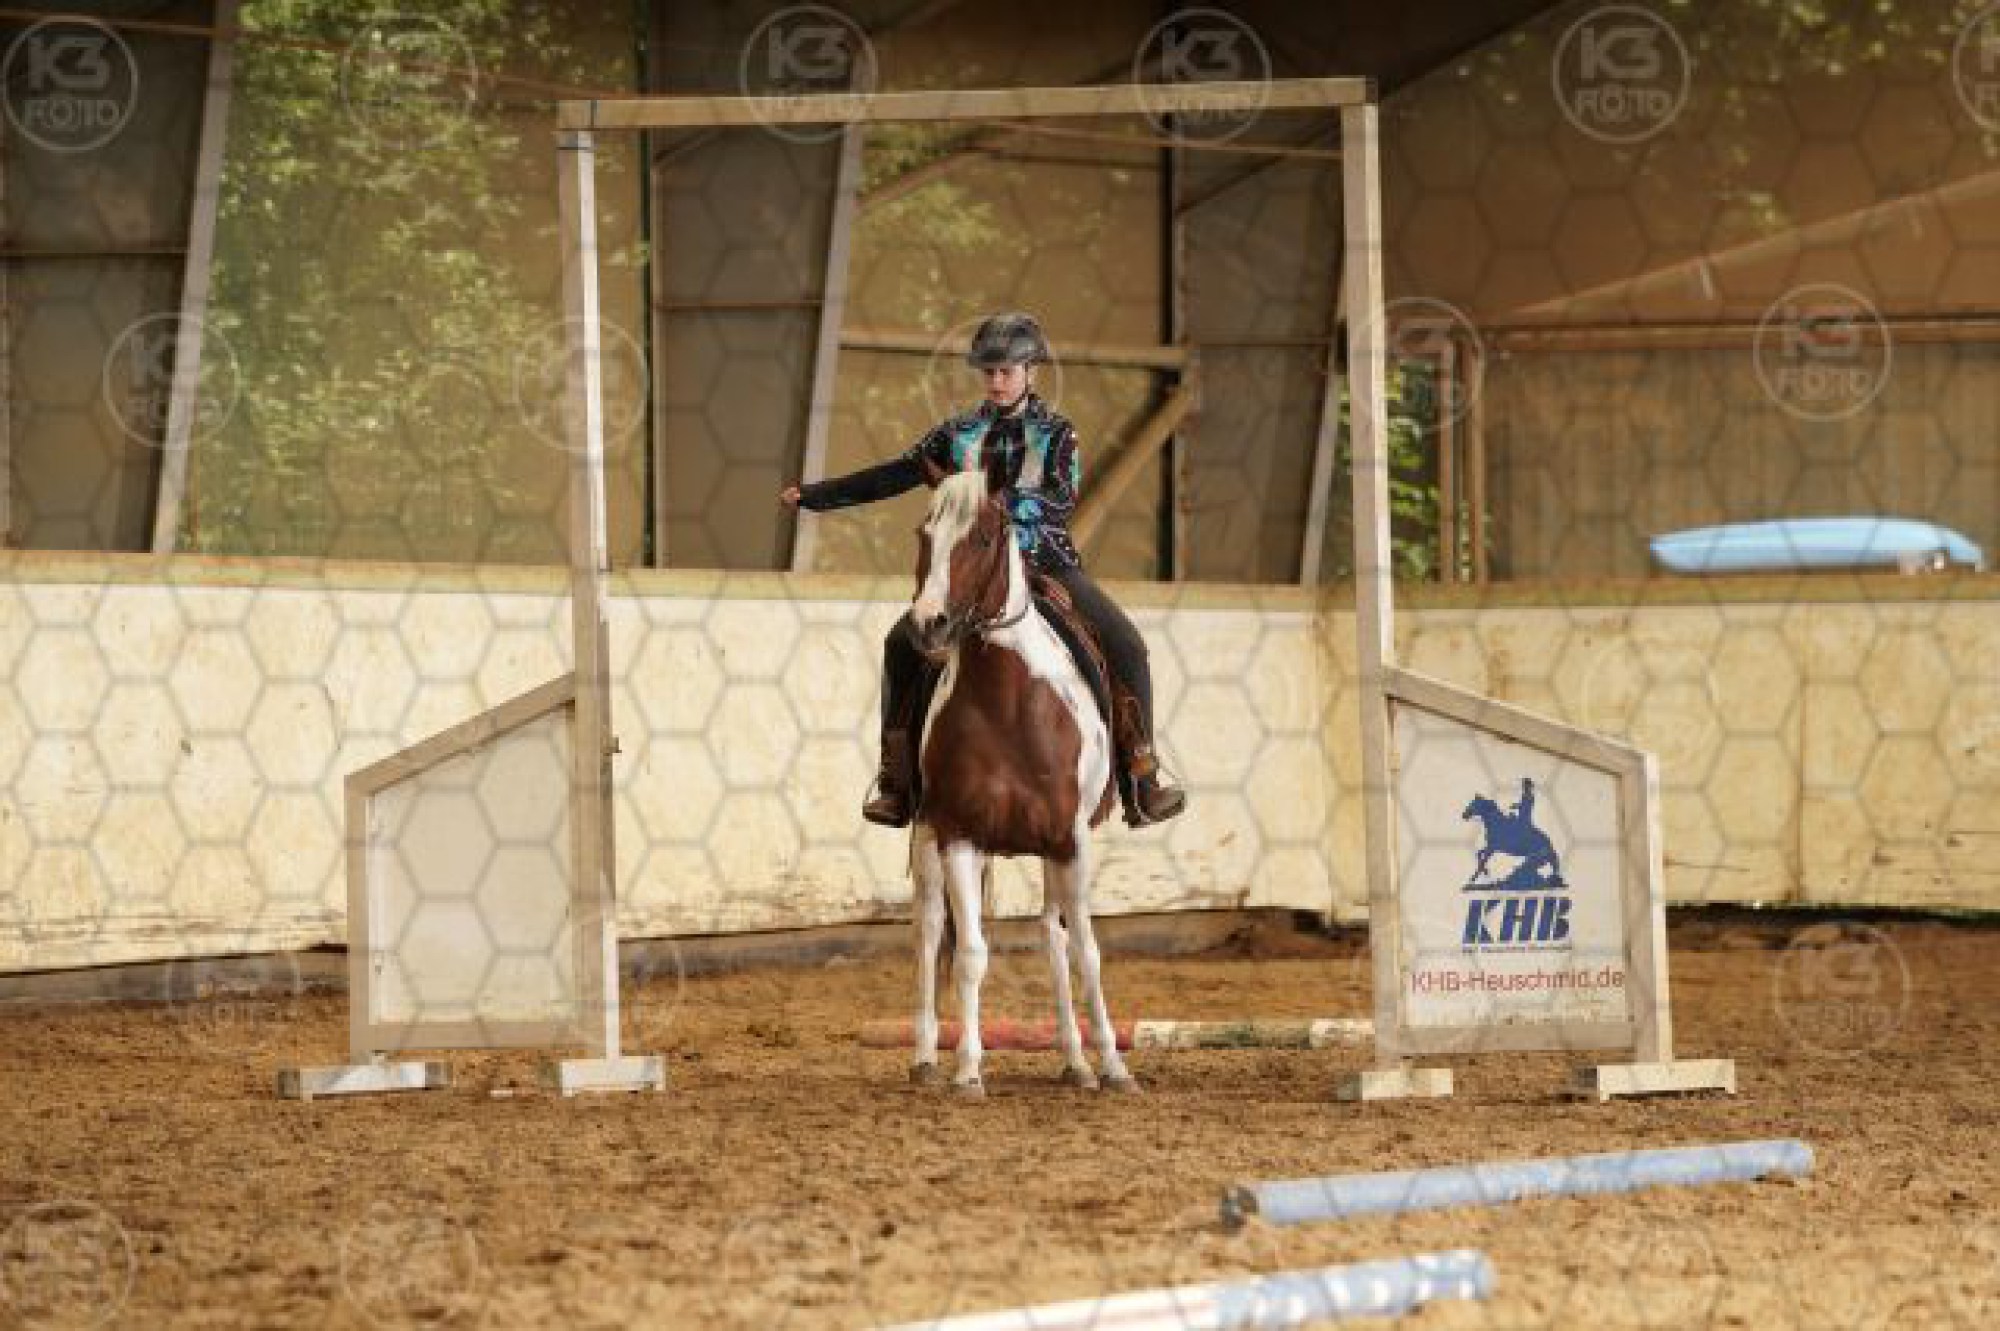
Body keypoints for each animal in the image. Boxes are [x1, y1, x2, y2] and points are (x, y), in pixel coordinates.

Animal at [902, 471, 1135, 1098]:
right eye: (925, 533)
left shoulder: (1070, 841)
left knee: (1054, 936)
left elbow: (1086, 953)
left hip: (1055, 851)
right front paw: (967, 1070)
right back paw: (926, 1057)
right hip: (929, 839)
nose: (928, 624)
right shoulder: (958, 836)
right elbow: (970, 954)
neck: (1006, 703)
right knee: (931, 930)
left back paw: (1077, 1061)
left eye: (983, 537)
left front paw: (1113, 1064)